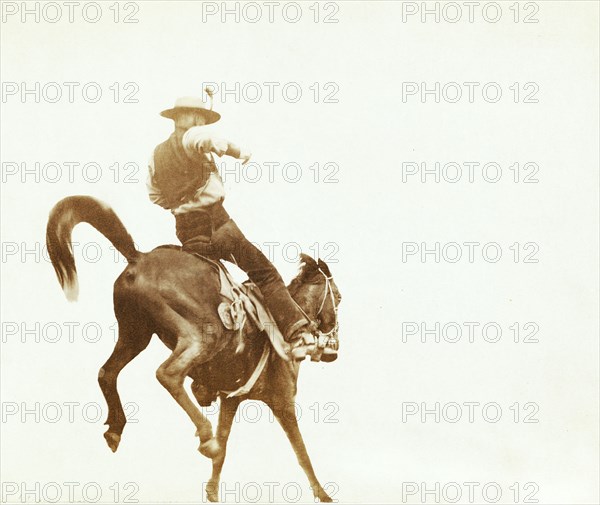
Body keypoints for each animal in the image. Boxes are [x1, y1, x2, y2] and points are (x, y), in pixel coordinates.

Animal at [45, 195, 342, 502]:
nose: (332, 350)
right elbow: (301, 452)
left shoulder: (231, 400)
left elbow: (225, 446)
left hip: (135, 335)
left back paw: (116, 429)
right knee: (168, 374)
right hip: (203, 337)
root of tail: (139, 257)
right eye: (339, 298)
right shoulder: (283, 402)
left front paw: (212, 491)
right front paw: (323, 494)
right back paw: (205, 437)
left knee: (107, 373)